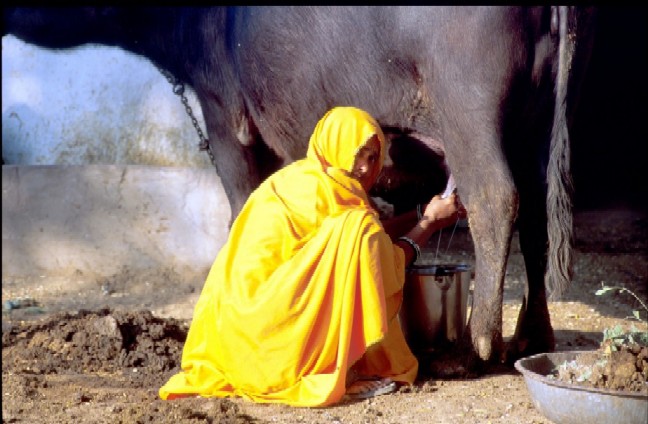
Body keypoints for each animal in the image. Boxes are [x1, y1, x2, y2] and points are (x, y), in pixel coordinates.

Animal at [2, 6, 598, 371]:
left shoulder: (226, 116)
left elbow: (240, 203)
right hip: (535, 122)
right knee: (537, 215)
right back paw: (532, 337)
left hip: (471, 111)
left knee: (496, 197)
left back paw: (480, 343)